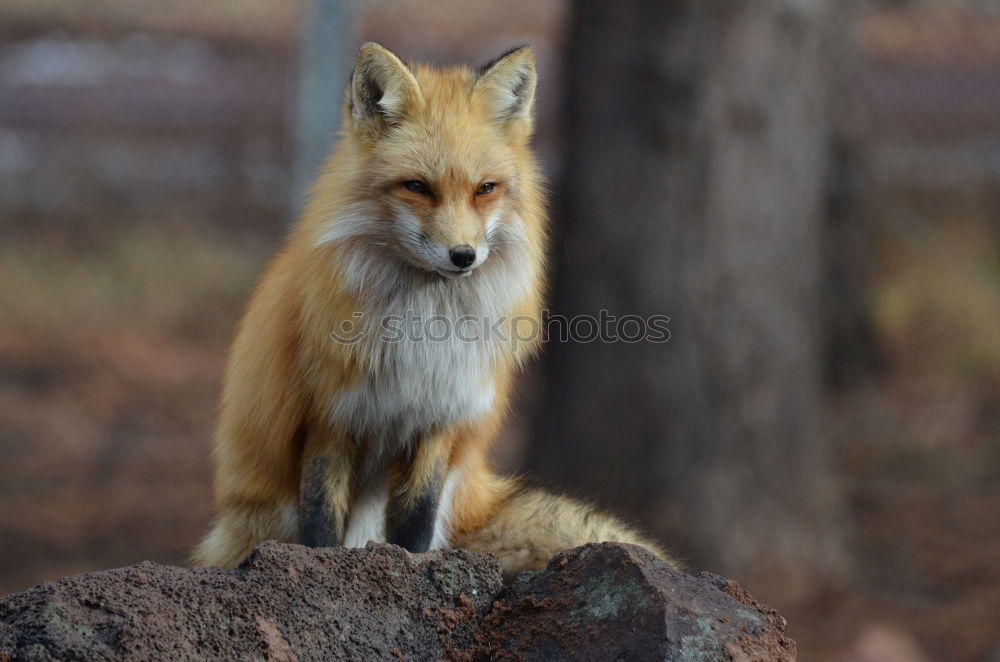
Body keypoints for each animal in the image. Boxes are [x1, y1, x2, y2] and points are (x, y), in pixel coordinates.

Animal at [191, 42, 672, 580]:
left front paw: (415, 568)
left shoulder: (440, 412)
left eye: (485, 189)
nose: (464, 255)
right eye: (417, 187)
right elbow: (321, 520)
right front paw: (316, 567)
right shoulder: (329, 416)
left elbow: (415, 520)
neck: (424, 326)